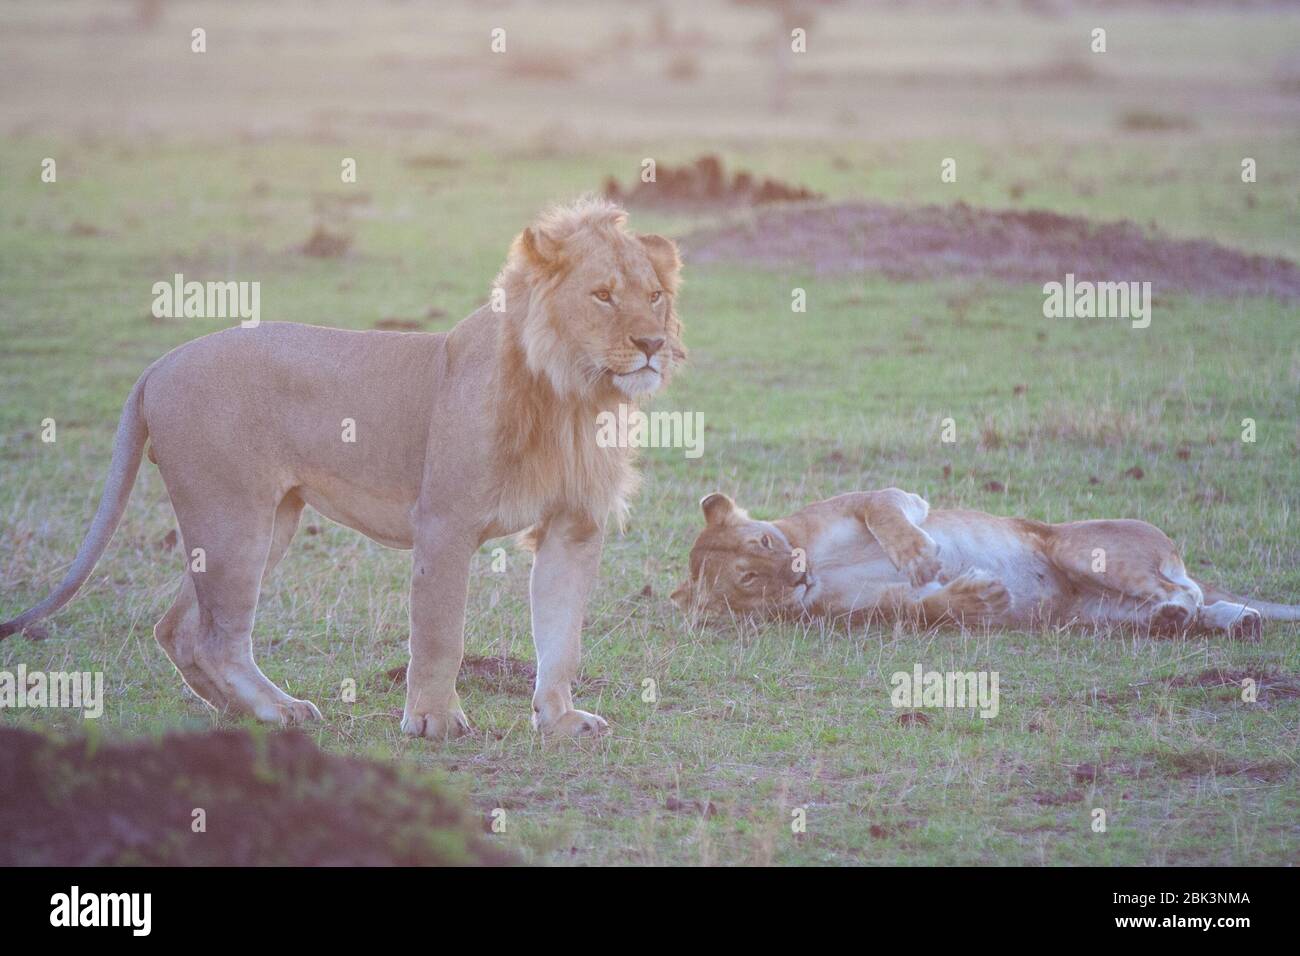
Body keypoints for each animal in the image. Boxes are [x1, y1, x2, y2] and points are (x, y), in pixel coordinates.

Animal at [1, 197, 685, 738]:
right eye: (602, 295)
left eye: (654, 296)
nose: (652, 344)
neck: (574, 395)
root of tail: (158, 365)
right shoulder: (445, 521)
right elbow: (440, 631)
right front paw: (433, 720)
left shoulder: (574, 526)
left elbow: (562, 635)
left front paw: (561, 719)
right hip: (233, 517)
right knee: (217, 635)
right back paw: (278, 710)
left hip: (268, 519)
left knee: (179, 628)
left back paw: (243, 712)